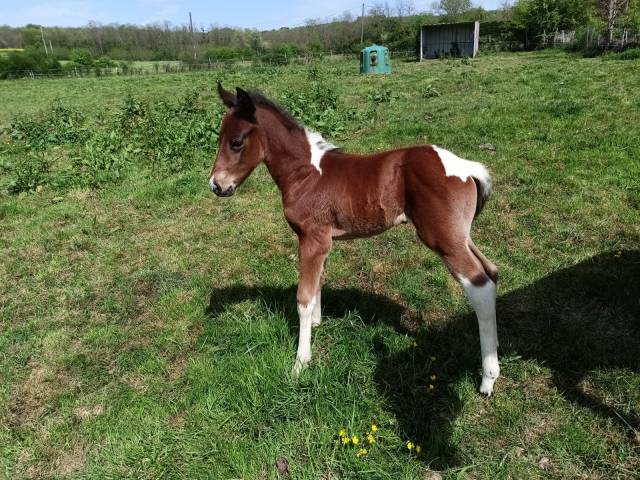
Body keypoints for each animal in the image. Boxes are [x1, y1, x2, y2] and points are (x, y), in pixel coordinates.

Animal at [209, 83, 500, 396]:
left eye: (237, 142)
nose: (216, 185)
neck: (305, 174)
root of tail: (465, 168)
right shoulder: (323, 241)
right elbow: (317, 284)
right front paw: (317, 324)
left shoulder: (312, 239)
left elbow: (302, 297)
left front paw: (301, 363)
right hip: (461, 235)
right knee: (492, 271)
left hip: (443, 239)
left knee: (480, 285)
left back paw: (488, 378)